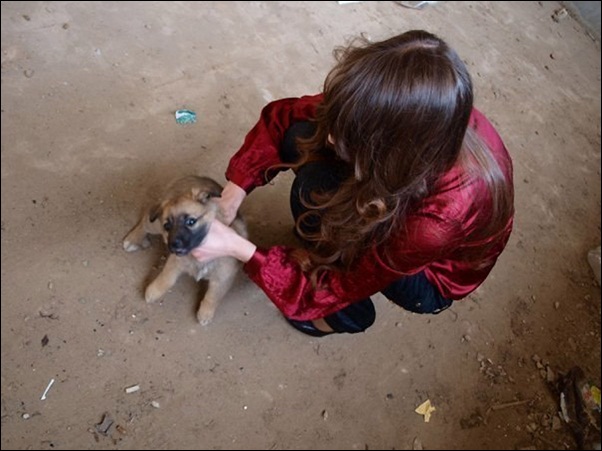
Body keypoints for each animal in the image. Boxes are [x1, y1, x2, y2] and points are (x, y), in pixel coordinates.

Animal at [122, 175, 246, 326]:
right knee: (145, 220)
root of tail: (194, 177)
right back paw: (132, 239)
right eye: (167, 226)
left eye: (191, 221)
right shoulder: (175, 261)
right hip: (155, 225)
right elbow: (166, 278)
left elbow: (213, 296)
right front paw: (153, 291)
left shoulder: (223, 277)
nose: (174, 245)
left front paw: (205, 313)